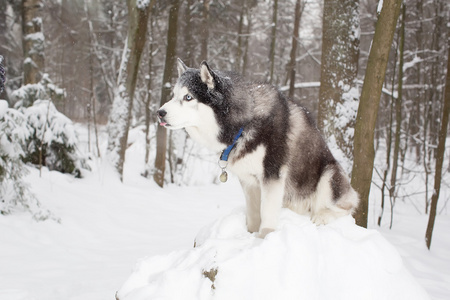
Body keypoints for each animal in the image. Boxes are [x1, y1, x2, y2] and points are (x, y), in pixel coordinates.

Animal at [157, 58, 358, 237]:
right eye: (173, 96)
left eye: (188, 97)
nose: (160, 112)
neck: (243, 124)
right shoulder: (249, 180)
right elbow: (254, 214)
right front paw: (250, 234)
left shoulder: (272, 175)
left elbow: (267, 214)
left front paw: (264, 238)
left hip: (329, 175)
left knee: (347, 206)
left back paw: (323, 216)